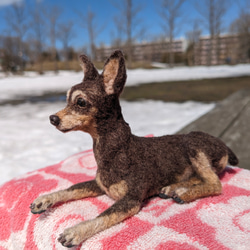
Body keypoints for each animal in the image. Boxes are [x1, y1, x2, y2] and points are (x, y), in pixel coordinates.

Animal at [30, 49, 239, 247]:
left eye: (80, 102)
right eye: (66, 100)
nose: (52, 118)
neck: (118, 150)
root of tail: (224, 145)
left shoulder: (131, 200)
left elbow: (104, 216)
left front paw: (76, 231)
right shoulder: (98, 185)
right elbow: (72, 188)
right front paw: (45, 199)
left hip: (194, 146)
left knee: (215, 183)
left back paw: (185, 194)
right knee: (200, 177)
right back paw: (173, 188)